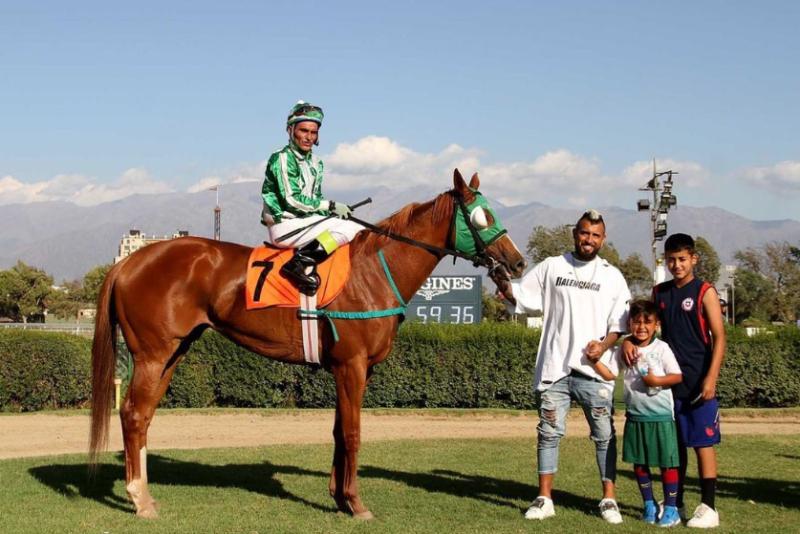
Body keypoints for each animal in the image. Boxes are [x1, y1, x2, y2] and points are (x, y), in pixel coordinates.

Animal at [89, 169, 526, 519]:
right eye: (481, 216)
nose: (518, 262)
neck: (374, 271)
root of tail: (127, 262)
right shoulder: (352, 366)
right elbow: (353, 433)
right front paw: (357, 503)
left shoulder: (354, 369)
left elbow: (337, 432)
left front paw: (339, 497)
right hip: (152, 354)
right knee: (132, 414)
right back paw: (139, 499)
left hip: (173, 353)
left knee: (143, 416)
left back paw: (146, 495)